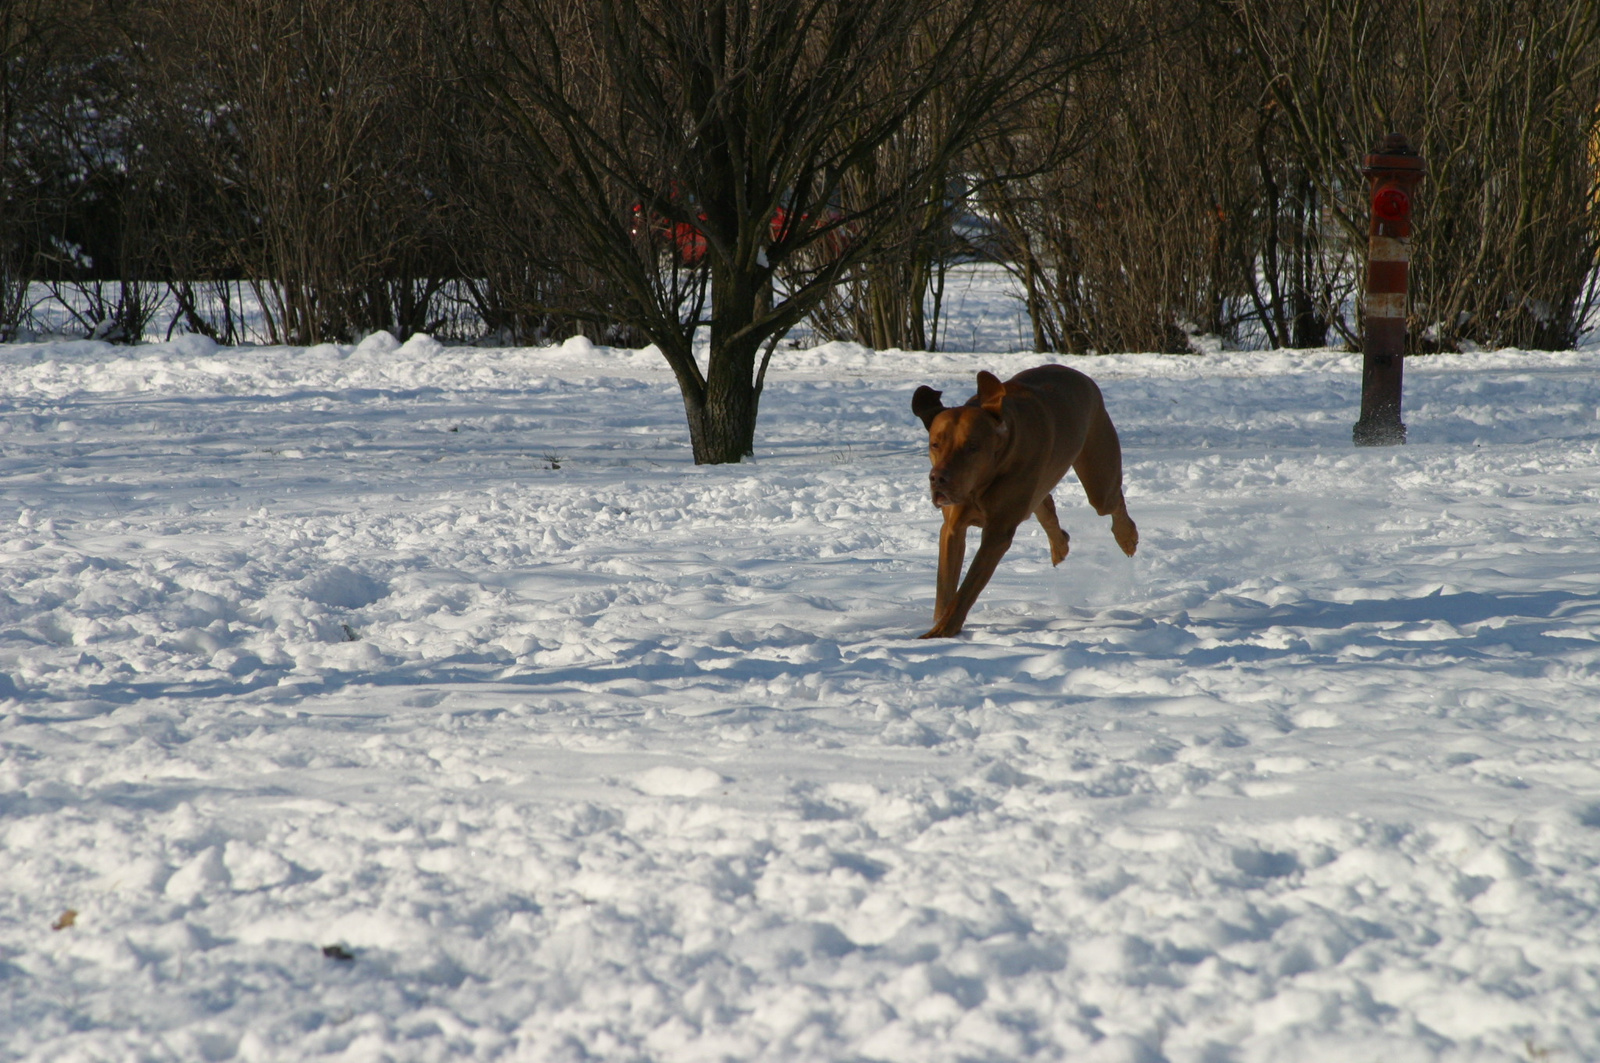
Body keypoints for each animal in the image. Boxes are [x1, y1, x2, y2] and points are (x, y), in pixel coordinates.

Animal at [915, 365, 1139, 633]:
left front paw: (941, 632)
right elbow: (945, 588)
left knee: (1113, 501)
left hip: (1099, 479)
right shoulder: (952, 527)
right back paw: (1060, 545)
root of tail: (1079, 375)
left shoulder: (997, 534)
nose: (938, 479)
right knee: (1044, 502)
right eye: (935, 444)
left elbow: (967, 590)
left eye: (972, 446)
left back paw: (1127, 537)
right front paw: (939, 623)